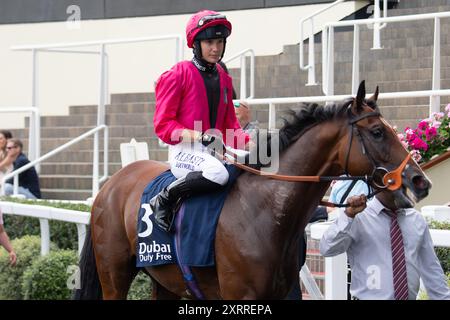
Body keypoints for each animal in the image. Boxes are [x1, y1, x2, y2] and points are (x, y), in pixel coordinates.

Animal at [74, 80, 432, 300]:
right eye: (377, 132)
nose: (420, 181)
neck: (266, 212)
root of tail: (111, 183)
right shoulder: (239, 294)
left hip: (165, 279)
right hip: (114, 273)